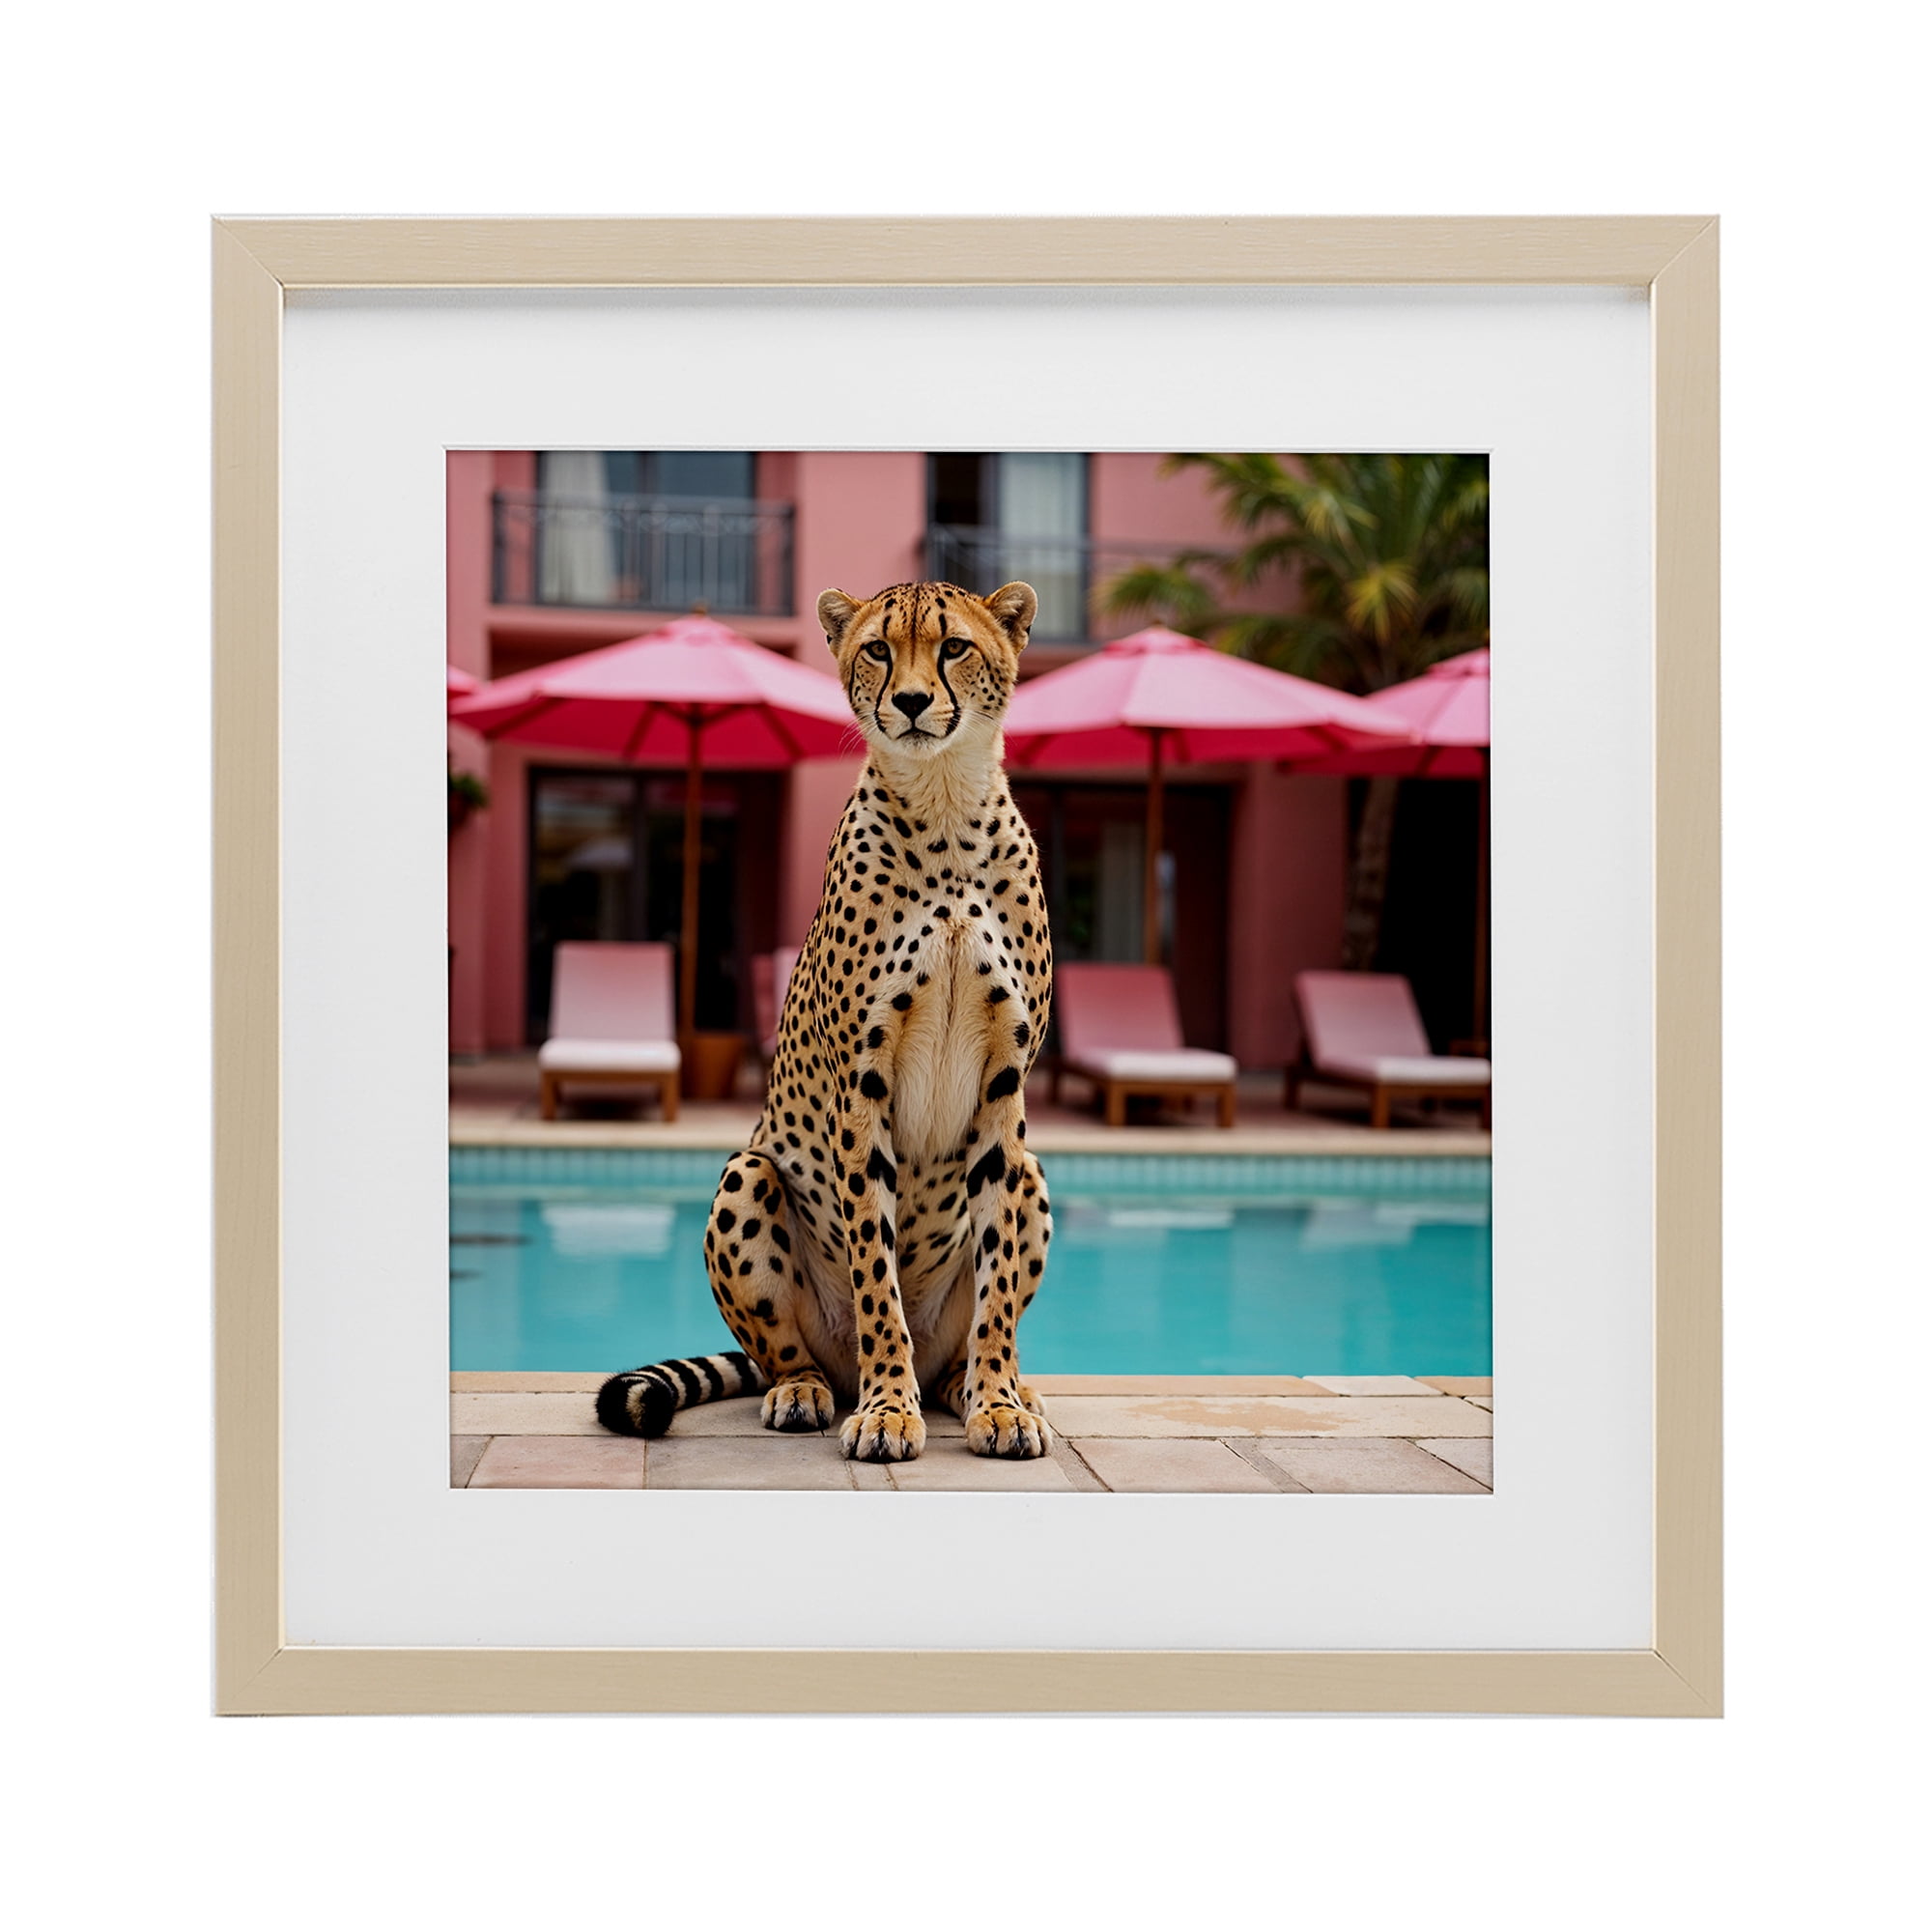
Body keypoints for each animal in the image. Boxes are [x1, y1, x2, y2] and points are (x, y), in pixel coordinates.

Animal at [595, 579, 1056, 1462]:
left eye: (953, 647)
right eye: (878, 649)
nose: (909, 702)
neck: (946, 807)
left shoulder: (1006, 1092)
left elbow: (998, 1281)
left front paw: (999, 1402)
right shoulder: (861, 1088)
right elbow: (877, 1275)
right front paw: (886, 1409)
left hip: (1036, 1176)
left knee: (980, 1315)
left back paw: (986, 1386)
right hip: (748, 1173)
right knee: (786, 1351)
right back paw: (809, 1390)